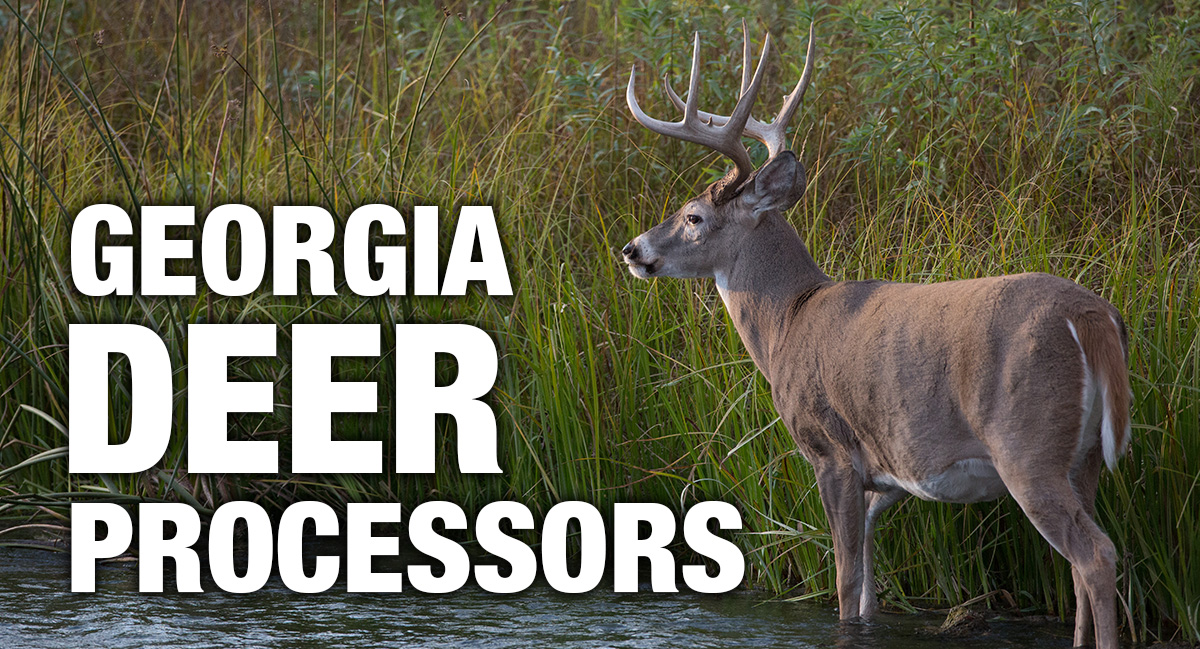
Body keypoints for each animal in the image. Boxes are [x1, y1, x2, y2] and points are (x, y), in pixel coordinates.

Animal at [621, 21, 1131, 649]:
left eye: (693, 216)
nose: (633, 250)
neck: (788, 321)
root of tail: (1094, 318)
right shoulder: (881, 480)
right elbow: (868, 592)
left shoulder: (831, 449)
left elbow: (844, 584)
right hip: (1084, 459)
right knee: (1081, 563)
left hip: (1027, 445)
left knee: (1095, 556)